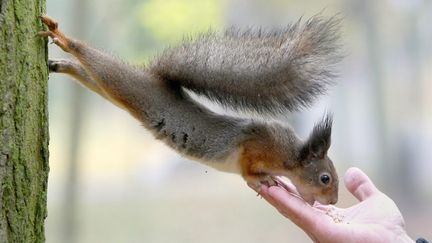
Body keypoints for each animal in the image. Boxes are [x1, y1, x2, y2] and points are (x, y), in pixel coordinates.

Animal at [38, 15, 340, 205]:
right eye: (325, 178)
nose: (334, 200)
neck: (289, 155)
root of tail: (153, 78)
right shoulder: (255, 146)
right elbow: (248, 169)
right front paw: (262, 179)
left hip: (115, 92)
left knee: (90, 76)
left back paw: (62, 65)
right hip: (127, 85)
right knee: (99, 64)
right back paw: (64, 40)